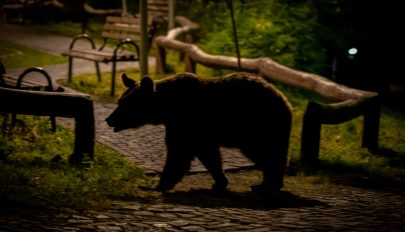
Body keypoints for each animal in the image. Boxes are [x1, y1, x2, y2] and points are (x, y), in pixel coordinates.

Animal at [105, 72, 292, 192]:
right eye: (119, 101)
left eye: (125, 104)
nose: (109, 119)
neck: (166, 107)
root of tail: (285, 100)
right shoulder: (199, 133)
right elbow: (209, 156)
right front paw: (220, 181)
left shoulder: (185, 123)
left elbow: (178, 153)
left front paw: (157, 184)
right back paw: (269, 183)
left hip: (258, 126)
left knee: (265, 153)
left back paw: (268, 184)